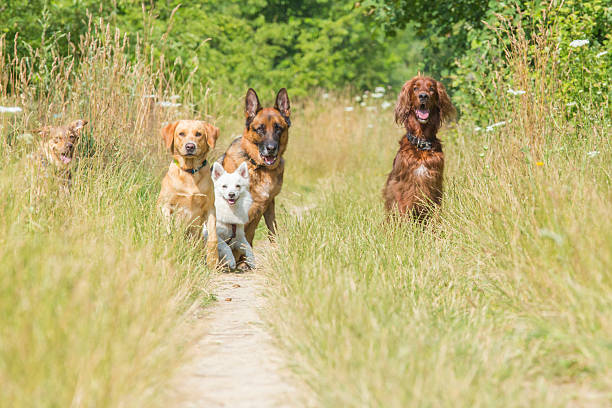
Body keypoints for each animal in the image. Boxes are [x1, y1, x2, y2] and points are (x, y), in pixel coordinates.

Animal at [158, 119, 220, 270]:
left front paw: (212, 260)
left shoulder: (210, 208)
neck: (190, 172)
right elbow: (168, 230)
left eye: (198, 134)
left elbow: (213, 237)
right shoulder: (166, 206)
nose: (190, 146)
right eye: (181, 133)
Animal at [220, 88, 292, 245]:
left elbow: (272, 231)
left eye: (278, 129)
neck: (256, 165)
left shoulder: (267, 204)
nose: (271, 149)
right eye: (260, 129)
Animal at [382, 74, 454, 218]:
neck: (421, 144)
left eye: (431, 88)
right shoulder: (400, 185)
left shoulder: (435, 185)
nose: (423, 96)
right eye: (415, 88)